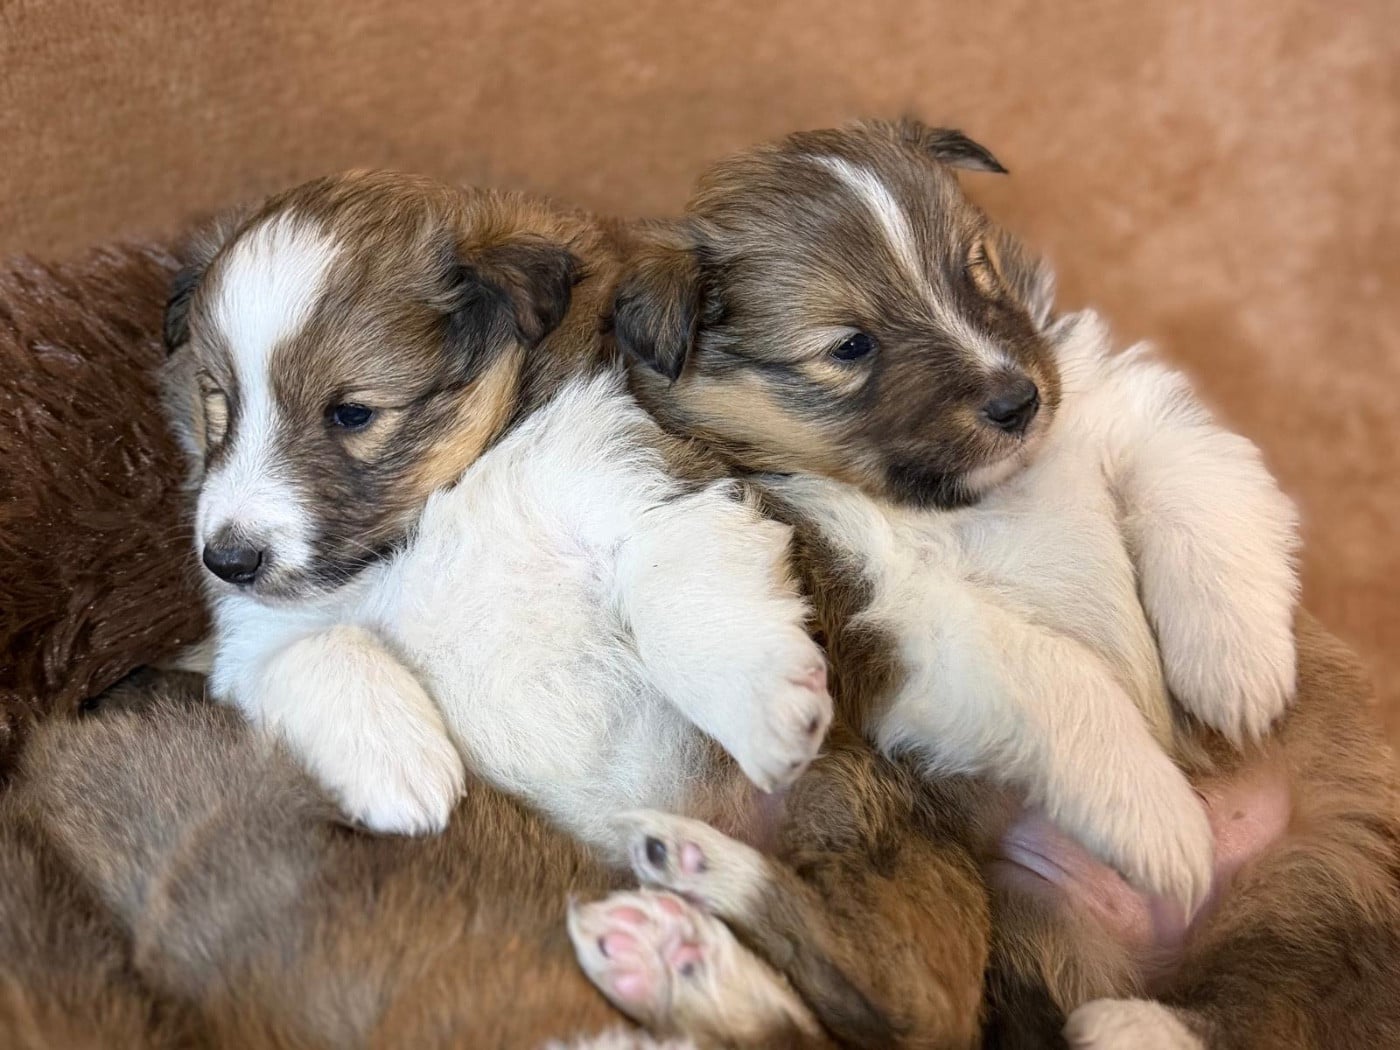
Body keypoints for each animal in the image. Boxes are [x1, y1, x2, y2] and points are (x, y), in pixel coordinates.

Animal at [607, 120, 1400, 1048]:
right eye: (851, 346)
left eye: (975, 268)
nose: (1017, 401)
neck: (972, 502)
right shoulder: (900, 619)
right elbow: (1058, 673)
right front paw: (1159, 820)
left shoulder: (1119, 406)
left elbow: (1192, 486)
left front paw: (1236, 671)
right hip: (977, 879)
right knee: (903, 999)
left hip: (1335, 860)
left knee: (1284, 1009)